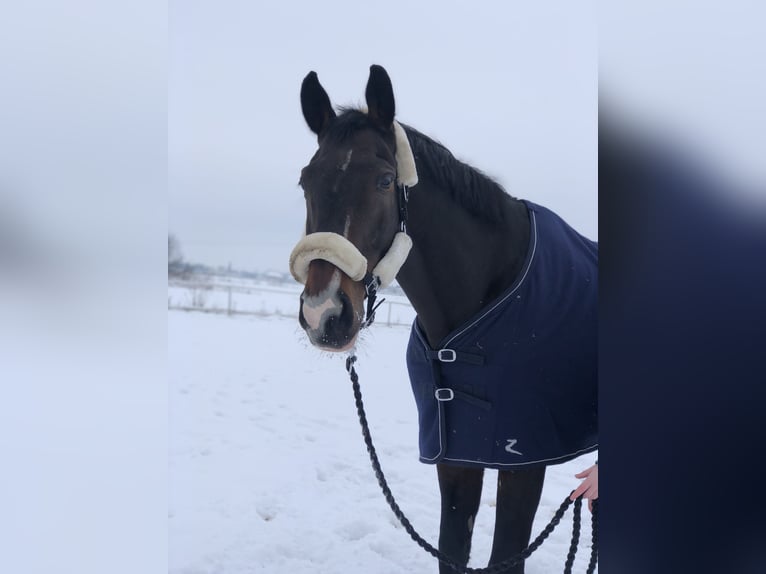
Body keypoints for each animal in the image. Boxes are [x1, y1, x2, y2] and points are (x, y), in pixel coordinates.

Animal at [289, 65, 598, 574]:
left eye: (384, 180)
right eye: (305, 181)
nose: (324, 314)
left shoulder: (524, 463)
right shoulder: (455, 459)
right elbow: (452, 552)